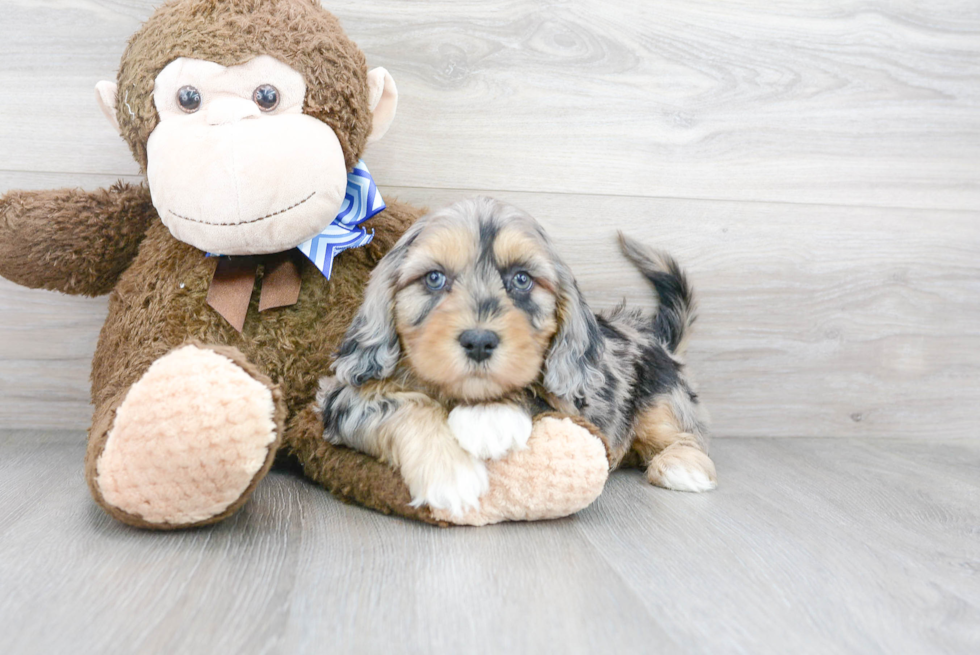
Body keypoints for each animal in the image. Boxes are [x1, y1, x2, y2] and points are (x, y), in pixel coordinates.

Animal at [318, 197, 716, 516]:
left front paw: (490, 415)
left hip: (663, 401)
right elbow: (401, 406)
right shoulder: (340, 397)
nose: (479, 341)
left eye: (522, 279)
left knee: (685, 436)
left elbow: (537, 392)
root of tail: (659, 339)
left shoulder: (579, 404)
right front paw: (451, 473)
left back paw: (682, 466)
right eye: (434, 278)